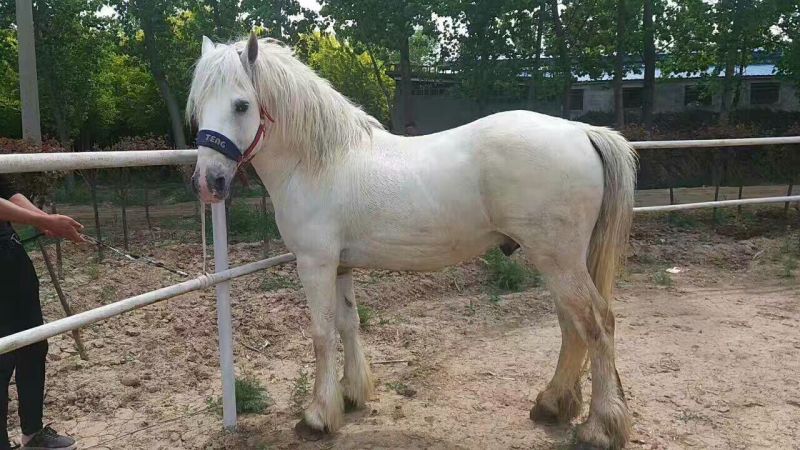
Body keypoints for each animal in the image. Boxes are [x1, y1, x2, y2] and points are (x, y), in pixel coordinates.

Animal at [188, 33, 638, 449]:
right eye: (199, 105)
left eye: (241, 105)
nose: (209, 183)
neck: (320, 162)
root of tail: (582, 131)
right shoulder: (340, 264)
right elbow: (348, 324)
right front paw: (351, 396)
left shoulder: (314, 263)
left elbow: (321, 334)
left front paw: (318, 416)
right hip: (561, 261)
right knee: (571, 326)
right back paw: (553, 404)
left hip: (558, 260)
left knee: (596, 324)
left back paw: (599, 428)